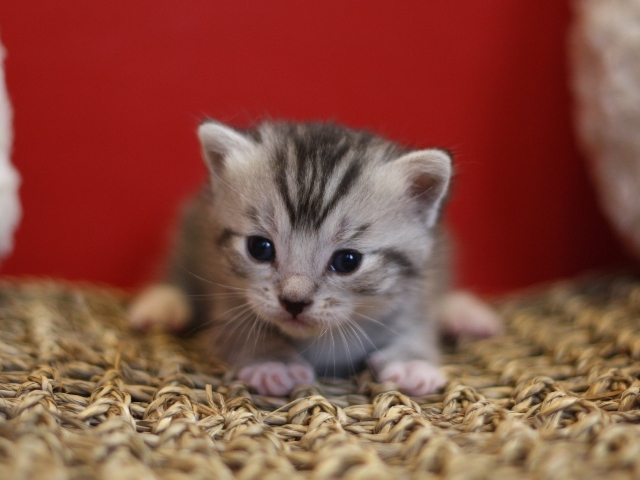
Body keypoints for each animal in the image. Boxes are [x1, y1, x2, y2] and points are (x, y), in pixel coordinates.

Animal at [130, 119, 500, 394]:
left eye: (348, 261)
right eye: (259, 248)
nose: (294, 301)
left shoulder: (414, 292)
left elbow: (416, 325)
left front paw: (412, 361)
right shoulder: (224, 291)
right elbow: (239, 328)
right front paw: (272, 361)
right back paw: (163, 303)